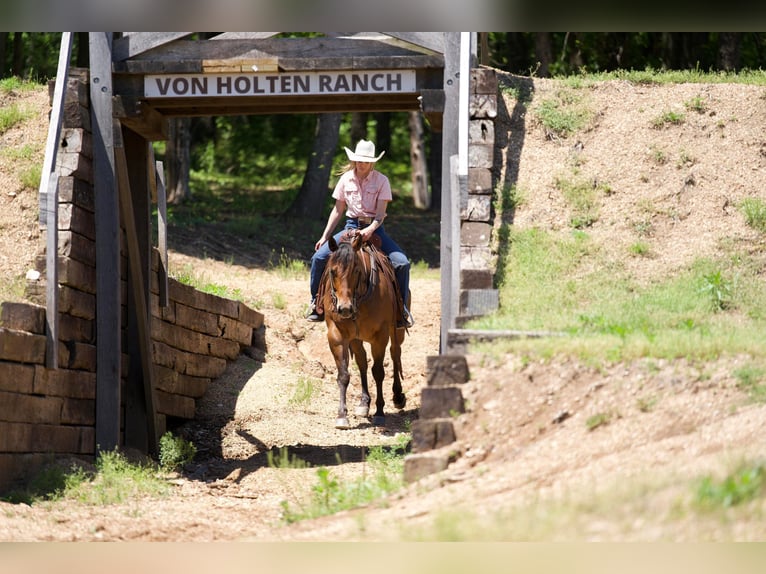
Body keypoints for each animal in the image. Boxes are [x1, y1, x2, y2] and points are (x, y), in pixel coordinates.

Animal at [318, 232, 408, 430]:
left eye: (356, 270)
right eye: (332, 271)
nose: (344, 308)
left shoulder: (380, 336)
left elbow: (379, 372)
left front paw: (380, 412)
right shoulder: (337, 335)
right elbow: (343, 374)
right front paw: (342, 416)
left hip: (396, 331)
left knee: (395, 354)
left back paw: (398, 396)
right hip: (356, 339)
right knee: (362, 362)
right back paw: (364, 403)